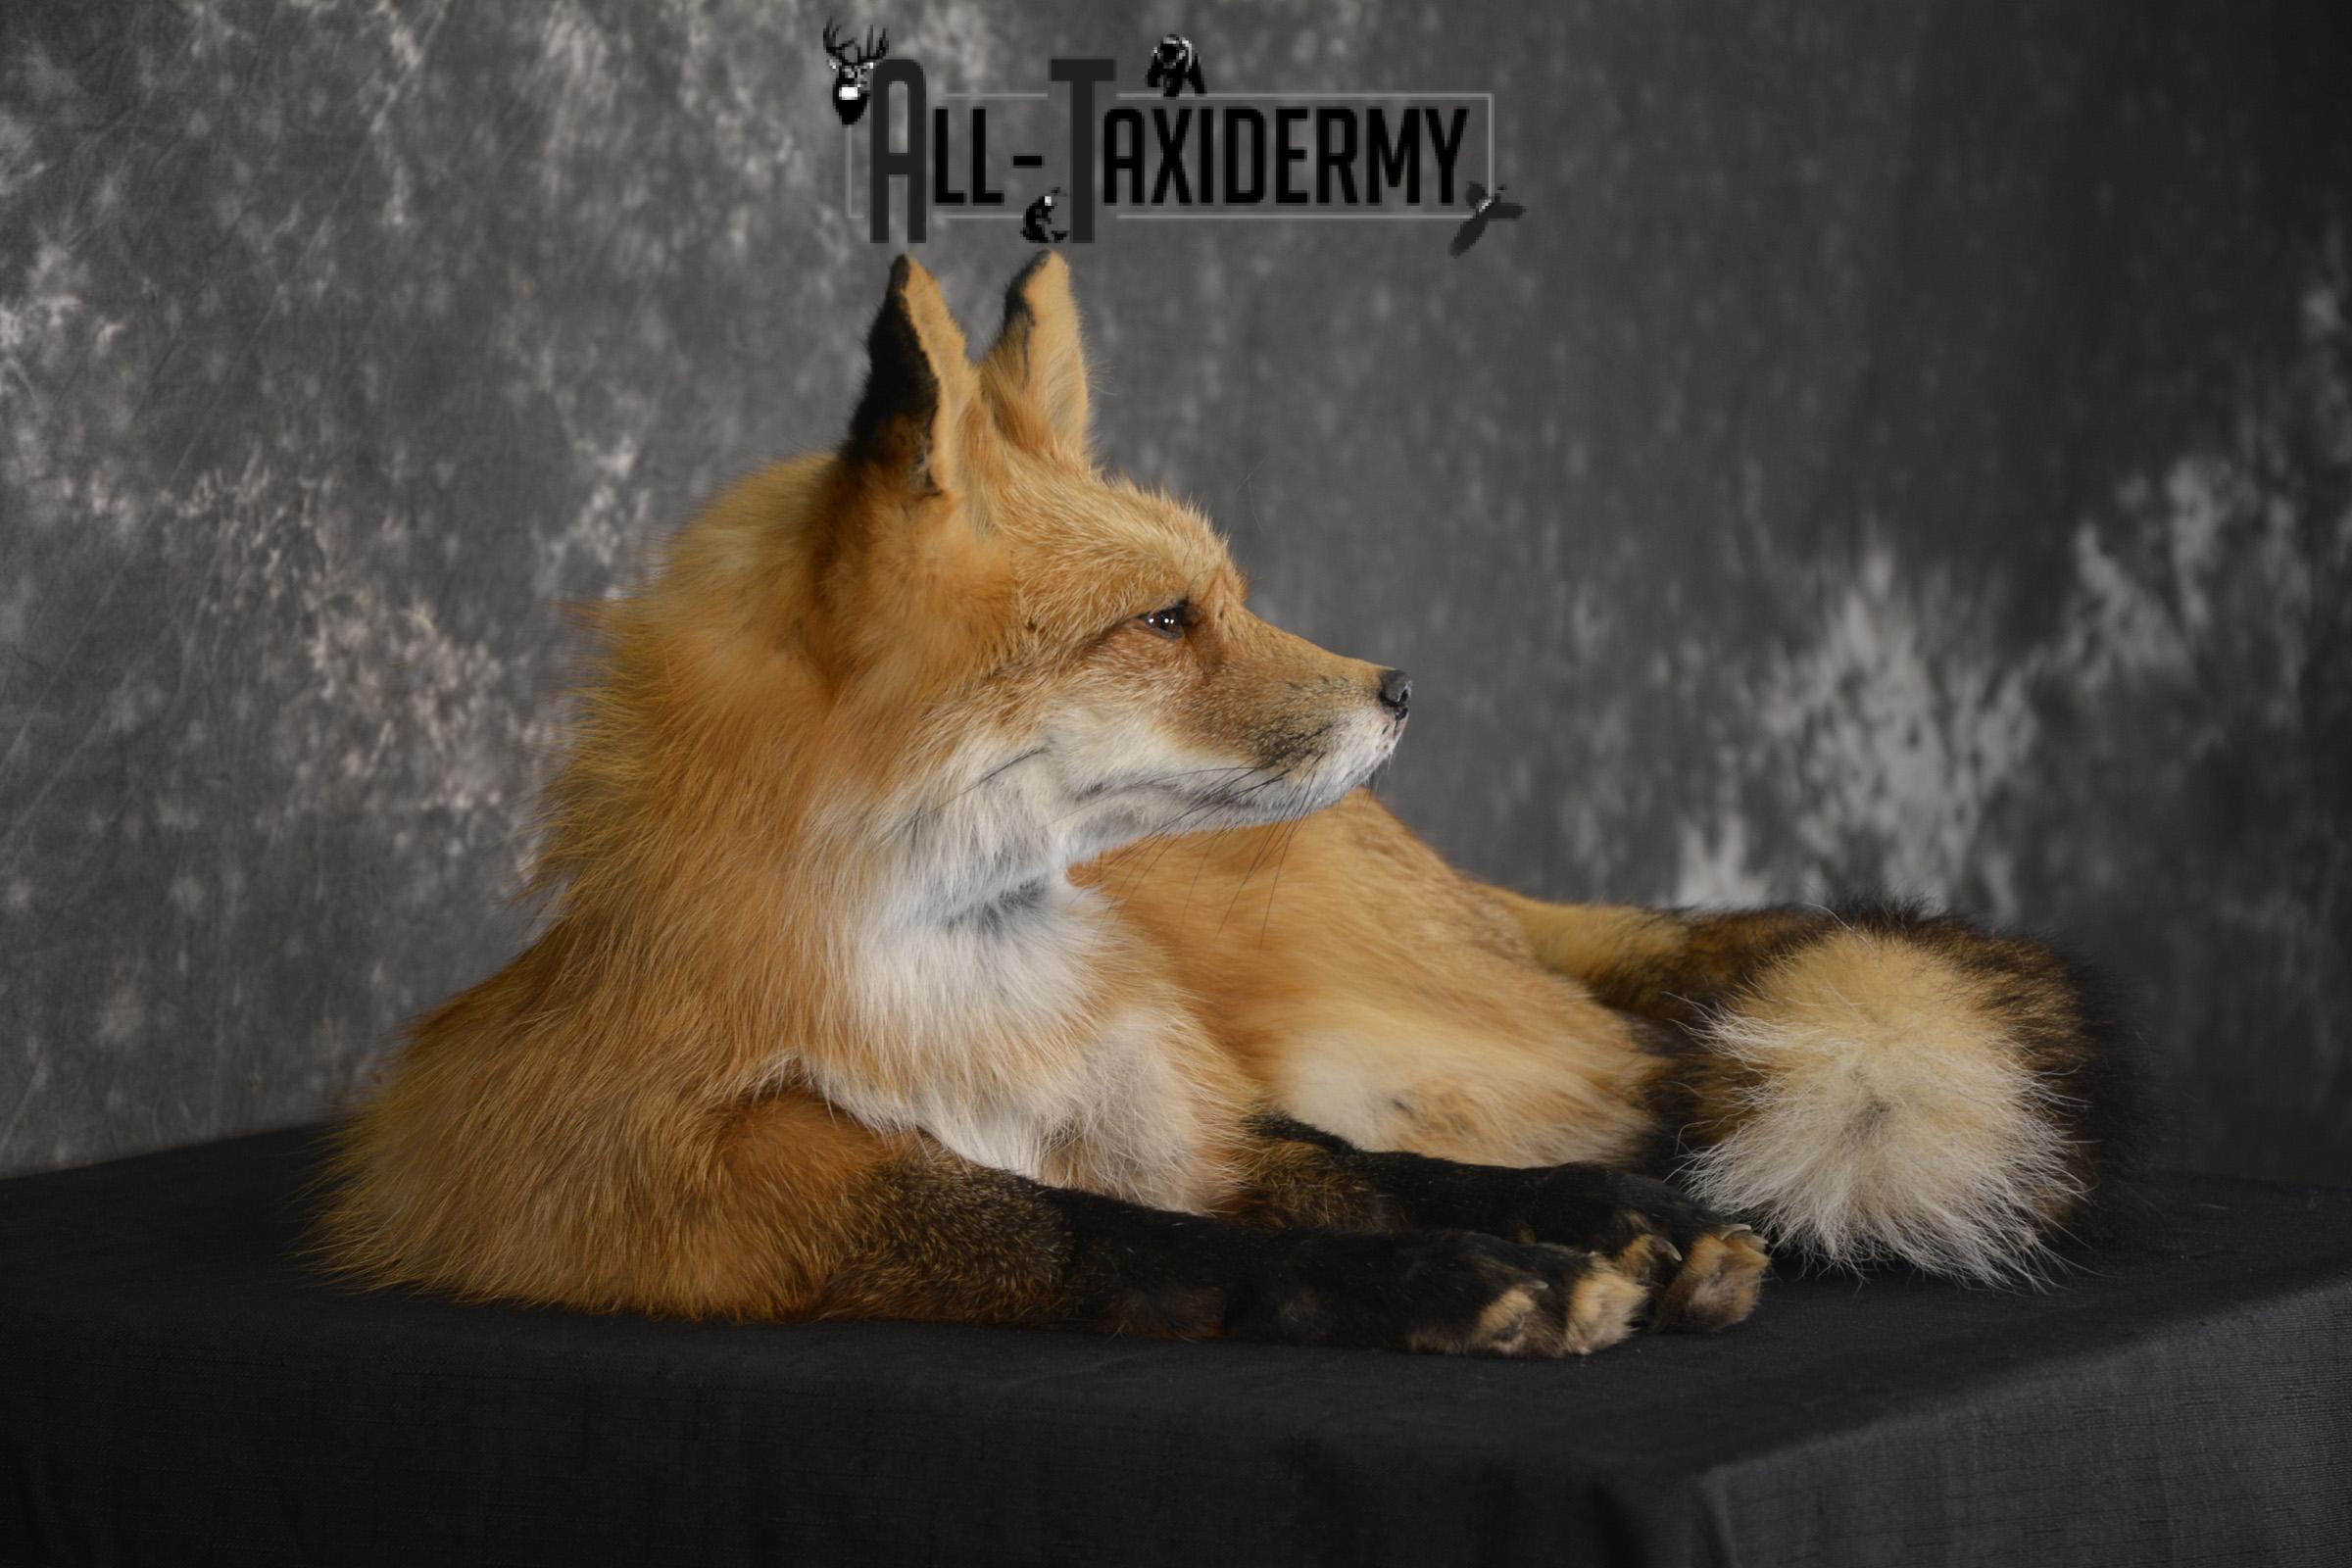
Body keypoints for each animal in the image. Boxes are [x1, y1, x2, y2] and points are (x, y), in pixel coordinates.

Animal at [318, 254, 2134, 1357]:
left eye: (1226, 594)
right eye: (1167, 620)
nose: (1401, 689)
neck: (973, 999)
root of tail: (1444, 871)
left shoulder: (1188, 1110)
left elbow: (1351, 1173)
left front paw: (1596, 1229)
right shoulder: (747, 1202)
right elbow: (1116, 1241)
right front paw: (1449, 1283)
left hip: (1407, 1038)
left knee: (1634, 1079)